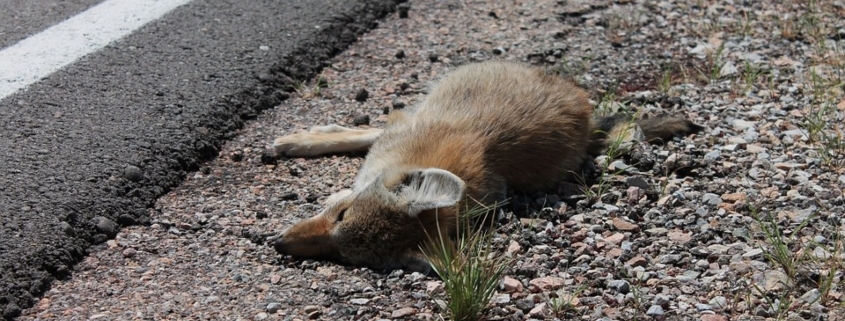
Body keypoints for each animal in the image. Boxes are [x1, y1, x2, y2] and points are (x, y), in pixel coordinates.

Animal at [270, 59, 700, 270]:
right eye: (341, 216)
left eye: (343, 256)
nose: (278, 244)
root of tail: (587, 112)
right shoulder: (400, 127)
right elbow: (360, 136)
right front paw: (306, 141)